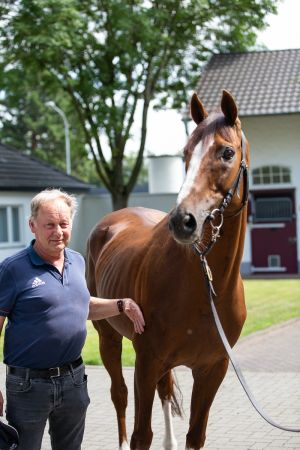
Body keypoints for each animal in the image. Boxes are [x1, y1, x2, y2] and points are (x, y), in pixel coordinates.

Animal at [86, 89, 248, 448]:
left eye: (227, 152)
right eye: (186, 153)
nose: (182, 221)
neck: (204, 288)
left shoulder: (212, 369)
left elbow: (195, 434)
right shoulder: (146, 361)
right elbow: (140, 434)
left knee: (164, 391)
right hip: (108, 338)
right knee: (119, 395)